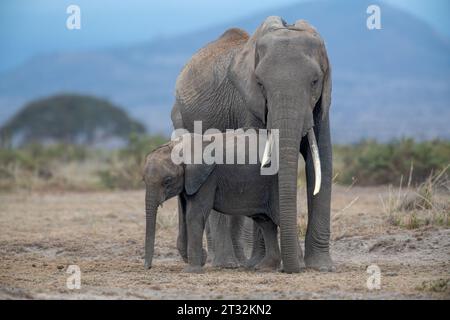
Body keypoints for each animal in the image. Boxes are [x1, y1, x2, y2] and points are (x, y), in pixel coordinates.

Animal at [142, 130, 286, 272]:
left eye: (167, 181)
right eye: (143, 179)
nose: (148, 267)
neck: (176, 146)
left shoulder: (207, 178)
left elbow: (194, 215)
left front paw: (192, 270)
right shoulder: (188, 182)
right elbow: (184, 216)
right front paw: (202, 259)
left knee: (277, 217)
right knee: (266, 222)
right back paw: (266, 267)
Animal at [171, 16, 332, 272]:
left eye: (315, 81)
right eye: (260, 83)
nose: (294, 268)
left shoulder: (321, 105)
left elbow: (322, 161)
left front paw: (321, 267)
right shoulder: (248, 103)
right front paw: (263, 265)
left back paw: (234, 261)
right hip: (182, 120)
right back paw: (224, 263)